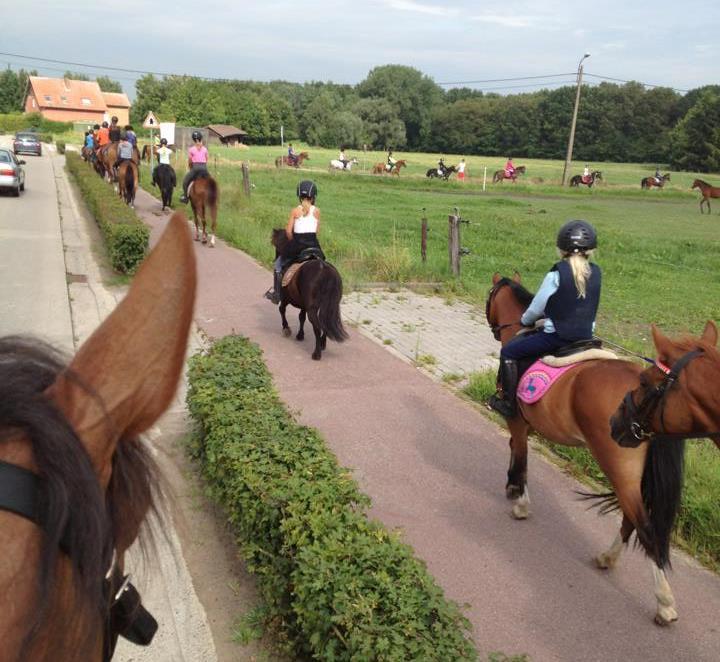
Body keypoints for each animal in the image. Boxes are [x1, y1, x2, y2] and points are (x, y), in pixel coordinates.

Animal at [270, 230, 348, 364]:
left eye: (276, 248)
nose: (275, 258)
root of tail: (325, 270)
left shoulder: (285, 299)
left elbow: (282, 310)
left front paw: (286, 329)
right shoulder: (303, 304)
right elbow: (301, 317)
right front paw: (300, 335)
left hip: (312, 308)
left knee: (317, 327)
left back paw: (316, 354)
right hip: (328, 306)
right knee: (325, 324)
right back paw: (322, 344)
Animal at [486, 274, 704, 628]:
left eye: (490, 295)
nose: (493, 327)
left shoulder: (517, 421)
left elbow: (521, 457)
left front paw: (520, 501)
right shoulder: (523, 424)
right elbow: (516, 453)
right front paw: (512, 488)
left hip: (620, 469)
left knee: (644, 527)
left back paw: (664, 604)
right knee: (631, 520)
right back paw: (607, 558)